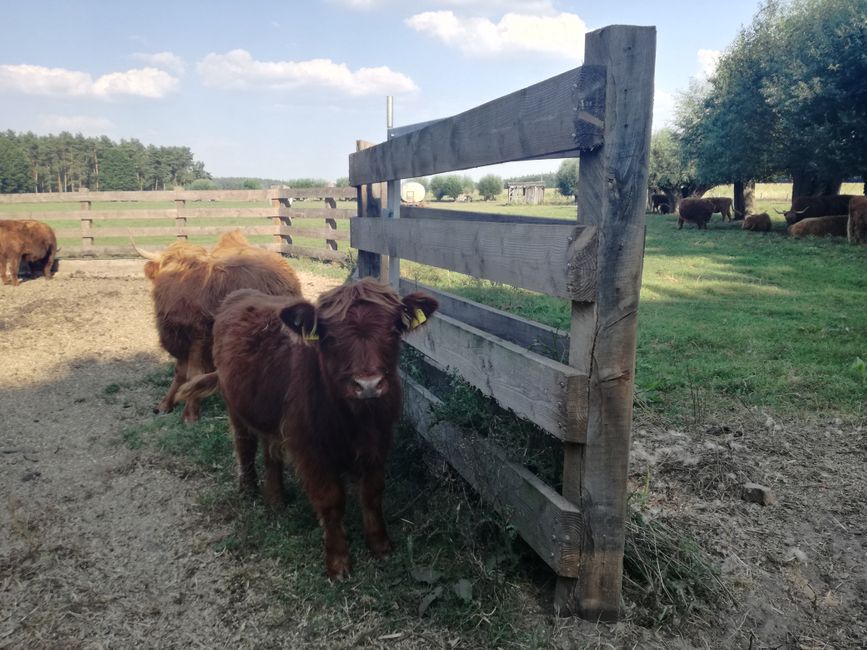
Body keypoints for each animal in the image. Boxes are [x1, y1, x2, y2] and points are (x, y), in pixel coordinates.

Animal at [134, 231, 302, 423]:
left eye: (195, 269)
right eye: (168, 265)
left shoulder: (199, 338)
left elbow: (193, 373)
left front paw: (190, 414)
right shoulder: (179, 339)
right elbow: (180, 372)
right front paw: (166, 403)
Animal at [176, 279, 439, 580]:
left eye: (393, 330)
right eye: (330, 337)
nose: (368, 384)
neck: (353, 419)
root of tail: (241, 294)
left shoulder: (379, 440)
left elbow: (372, 493)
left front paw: (380, 545)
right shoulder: (310, 447)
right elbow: (331, 500)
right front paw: (338, 561)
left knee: (271, 452)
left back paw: (276, 499)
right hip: (235, 405)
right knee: (245, 445)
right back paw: (248, 489)